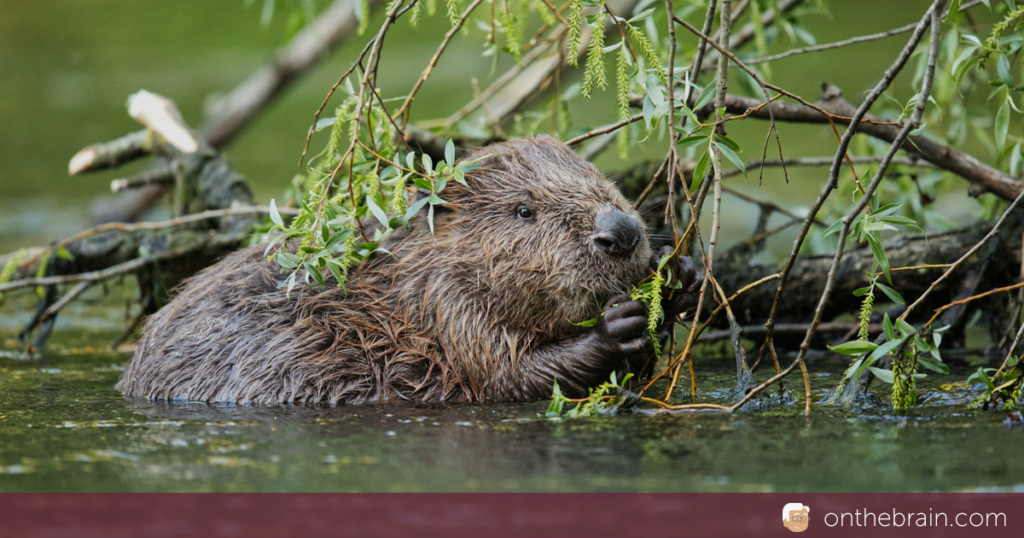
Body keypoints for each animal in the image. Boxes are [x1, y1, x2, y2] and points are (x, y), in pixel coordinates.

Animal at [116, 134, 700, 401]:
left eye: (606, 183)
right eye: (524, 210)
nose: (620, 233)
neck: (402, 288)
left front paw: (682, 277)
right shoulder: (449, 310)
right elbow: (506, 376)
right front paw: (614, 326)